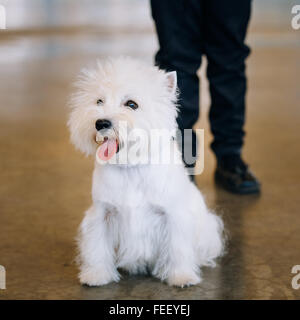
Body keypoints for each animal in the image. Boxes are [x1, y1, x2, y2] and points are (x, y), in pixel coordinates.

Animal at [67, 57, 223, 288]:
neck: (131, 167)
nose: (101, 123)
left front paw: (181, 276)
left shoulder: (172, 216)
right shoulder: (102, 213)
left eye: (132, 104)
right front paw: (97, 275)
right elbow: (97, 246)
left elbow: (178, 248)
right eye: (98, 101)